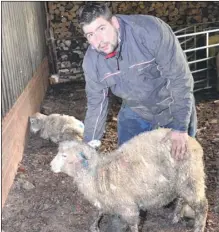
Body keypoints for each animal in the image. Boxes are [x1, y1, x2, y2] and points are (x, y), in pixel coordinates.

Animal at [50, 128, 209, 231]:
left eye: (64, 155)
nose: (51, 166)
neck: (99, 173)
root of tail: (193, 141)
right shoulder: (105, 201)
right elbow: (99, 212)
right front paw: (94, 226)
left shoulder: (129, 208)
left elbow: (133, 225)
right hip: (182, 181)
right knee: (182, 198)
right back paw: (176, 217)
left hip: (191, 176)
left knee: (202, 205)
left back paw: (198, 227)